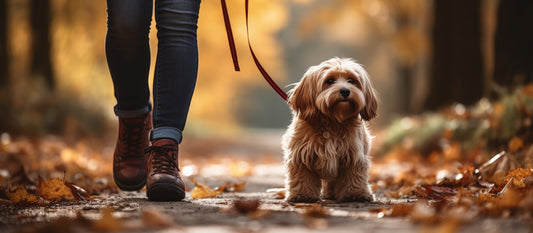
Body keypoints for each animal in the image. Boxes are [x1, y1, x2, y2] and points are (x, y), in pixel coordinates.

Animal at [280, 57, 376, 203]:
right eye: (329, 81)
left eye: (351, 80)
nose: (345, 91)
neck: (333, 121)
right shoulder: (300, 155)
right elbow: (302, 177)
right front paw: (302, 195)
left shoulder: (354, 155)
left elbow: (354, 176)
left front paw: (355, 194)